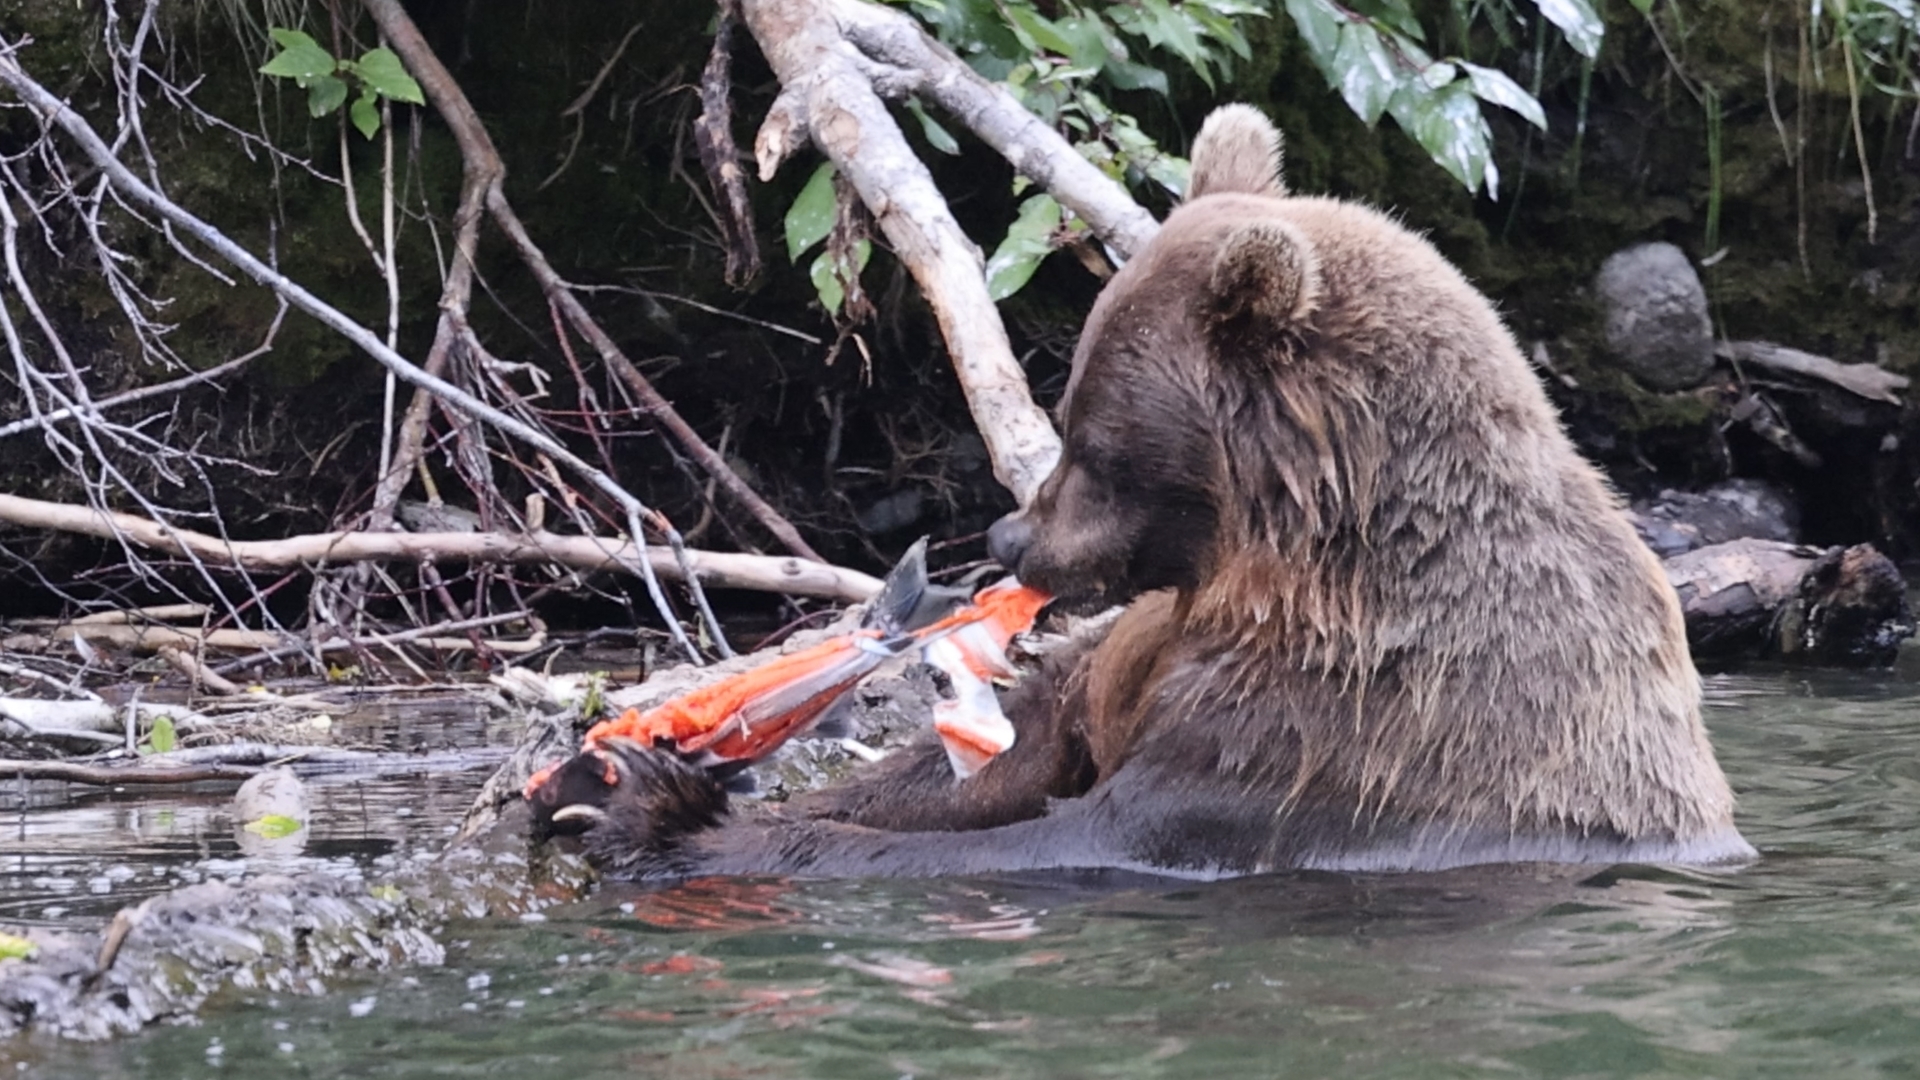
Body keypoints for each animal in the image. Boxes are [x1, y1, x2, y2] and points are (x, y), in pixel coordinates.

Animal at [560, 102, 1758, 876]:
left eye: (1093, 440)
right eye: (1071, 406)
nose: (1009, 537)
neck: (1273, 561)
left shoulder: (1339, 728)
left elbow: (1081, 832)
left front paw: (669, 821)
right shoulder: (1154, 650)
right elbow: (1012, 754)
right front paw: (617, 779)